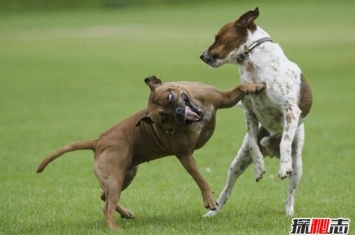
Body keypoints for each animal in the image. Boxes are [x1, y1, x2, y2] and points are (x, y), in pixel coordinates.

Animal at [37, 75, 266, 229]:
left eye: (171, 96)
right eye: (164, 118)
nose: (179, 111)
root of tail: (99, 141)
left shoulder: (224, 98)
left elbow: (239, 88)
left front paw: (255, 86)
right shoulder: (185, 156)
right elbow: (199, 178)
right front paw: (209, 199)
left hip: (125, 175)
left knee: (104, 197)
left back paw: (125, 213)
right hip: (115, 178)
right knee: (107, 206)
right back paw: (115, 228)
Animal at [202, 7, 312, 217]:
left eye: (218, 37)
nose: (202, 56)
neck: (252, 65)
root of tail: (271, 150)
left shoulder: (291, 110)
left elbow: (285, 141)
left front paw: (283, 167)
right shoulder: (250, 114)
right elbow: (253, 143)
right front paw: (259, 166)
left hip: (299, 166)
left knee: (290, 193)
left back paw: (289, 210)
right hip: (236, 164)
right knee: (226, 191)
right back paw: (213, 211)